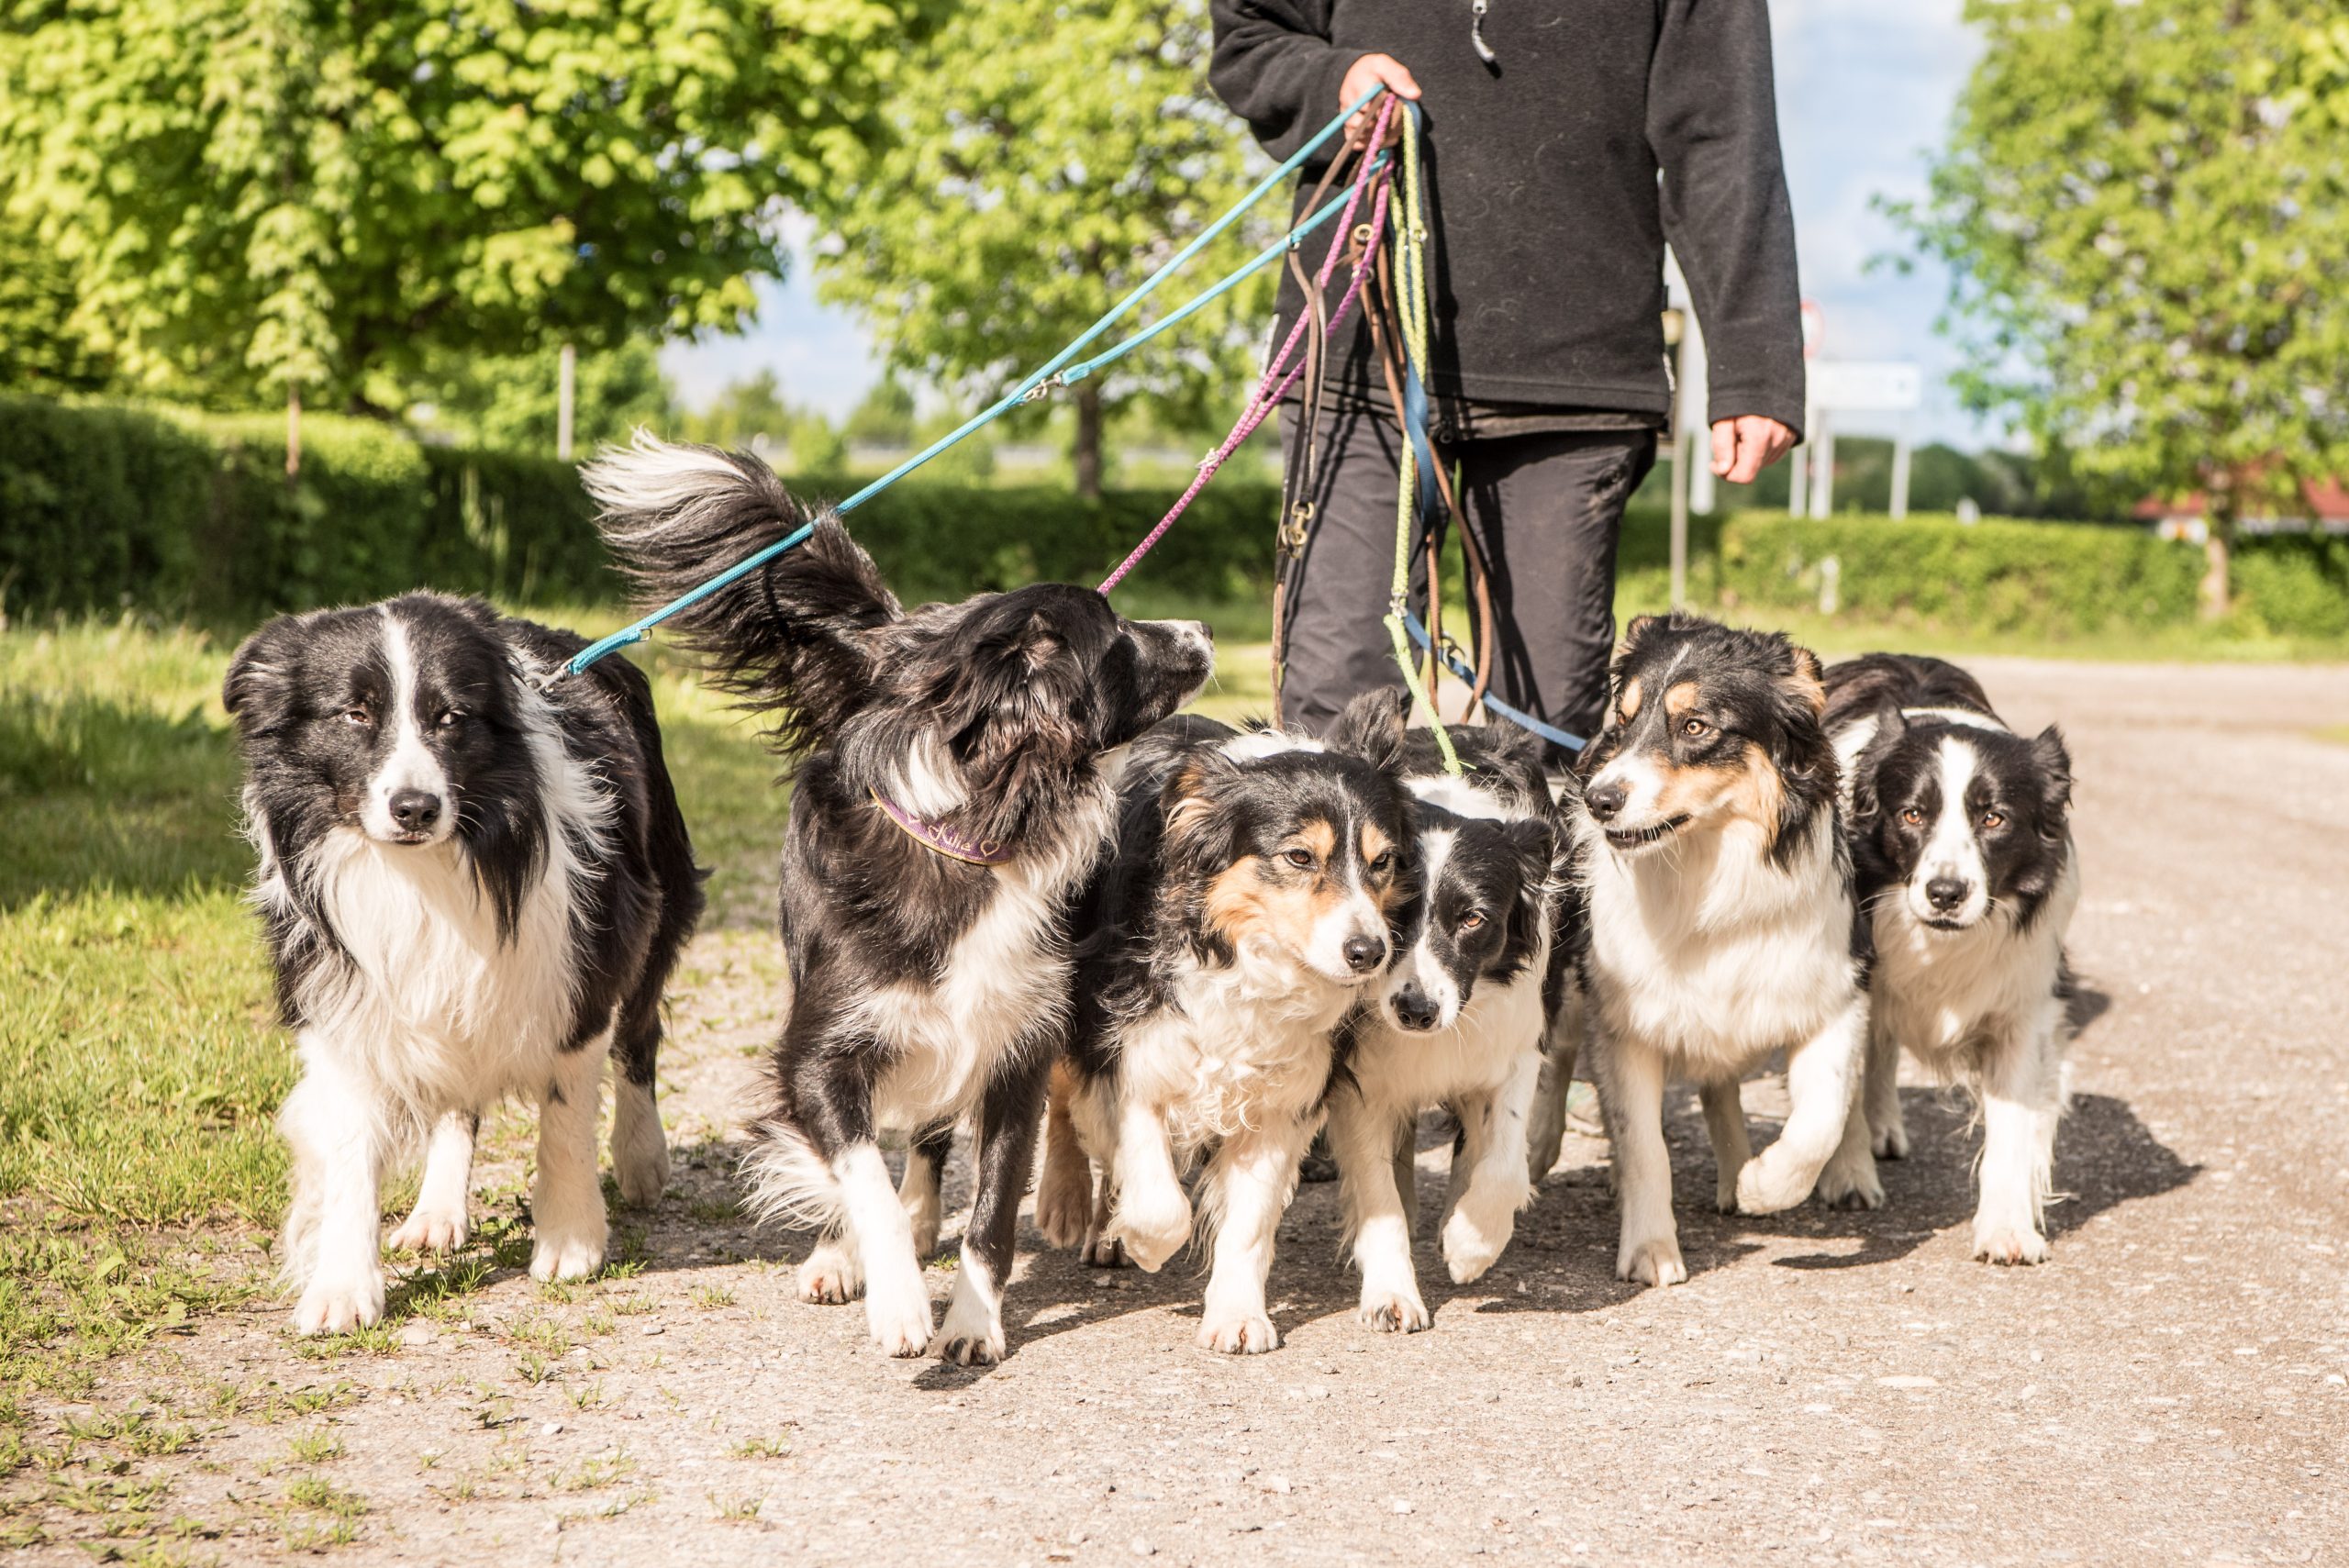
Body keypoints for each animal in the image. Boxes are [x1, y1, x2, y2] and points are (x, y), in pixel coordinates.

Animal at [228, 594, 705, 1333]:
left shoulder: (579, 969)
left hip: (661, 897)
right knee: (457, 1099)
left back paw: (640, 1156)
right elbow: (349, 1150)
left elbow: (566, 1118)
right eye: (355, 713)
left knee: (640, 1035)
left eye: (451, 716)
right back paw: (437, 1209)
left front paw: (570, 1240)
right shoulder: (340, 994)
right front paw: (343, 1286)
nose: (415, 808)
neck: (424, 870)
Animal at [584, 431, 1211, 1361]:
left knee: (930, 1130)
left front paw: (974, 1322)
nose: (1201, 628)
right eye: (1121, 636)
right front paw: (895, 1294)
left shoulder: (1016, 1044)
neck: (973, 836)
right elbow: (855, 1171)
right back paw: (848, 1253)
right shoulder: (819, 1050)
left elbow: (992, 1208)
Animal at [1569, 610, 1879, 1285]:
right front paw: (1651, 1247)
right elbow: (1644, 1145)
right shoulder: (1623, 1023)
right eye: (1622, 719)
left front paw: (1765, 1184)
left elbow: (1821, 1117)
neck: (1709, 877)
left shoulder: (1835, 993)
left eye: (1695, 726)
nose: (1598, 799)